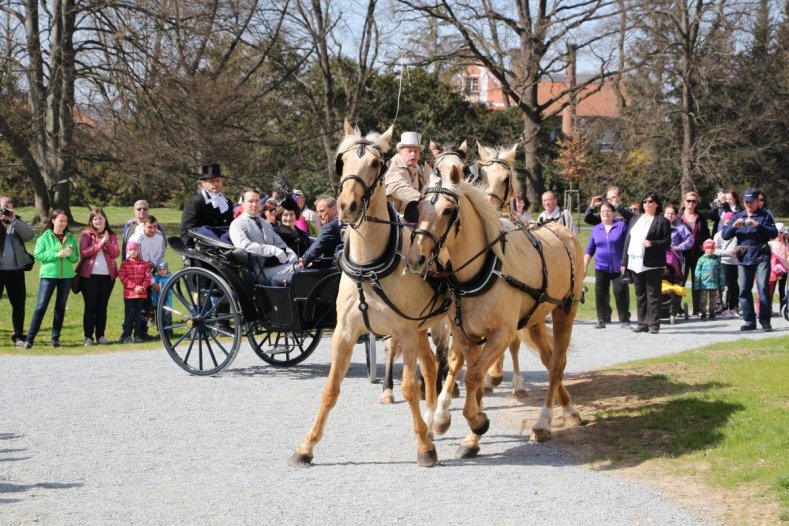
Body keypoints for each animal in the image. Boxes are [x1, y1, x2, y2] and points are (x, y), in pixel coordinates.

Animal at [290, 122, 450, 470]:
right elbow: (331, 388)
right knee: (431, 366)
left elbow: (409, 387)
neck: (369, 266)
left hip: (441, 325)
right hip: (421, 327)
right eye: (342, 161)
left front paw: (424, 448)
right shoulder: (345, 333)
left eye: (376, 163)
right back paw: (432, 420)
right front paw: (307, 446)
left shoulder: (405, 330)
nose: (347, 206)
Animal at [404, 164, 580, 458]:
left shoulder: (501, 335)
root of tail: (561, 229)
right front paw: (465, 433)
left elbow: (474, 376)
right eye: (418, 207)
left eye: (448, 210)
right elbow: (468, 377)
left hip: (565, 310)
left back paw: (543, 423)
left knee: (557, 364)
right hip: (534, 318)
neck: (481, 270)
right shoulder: (466, 335)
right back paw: (568, 409)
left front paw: (476, 422)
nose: (416, 258)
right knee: (548, 358)